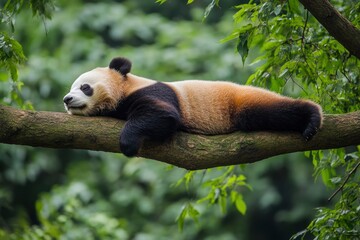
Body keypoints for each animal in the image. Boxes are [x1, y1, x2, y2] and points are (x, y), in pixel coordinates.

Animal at [63, 57, 322, 157]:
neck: (125, 87)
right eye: (71, 87)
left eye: (85, 87)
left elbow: (164, 115)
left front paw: (129, 143)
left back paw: (312, 118)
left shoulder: (152, 91)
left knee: (272, 111)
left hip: (240, 101)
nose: (67, 99)